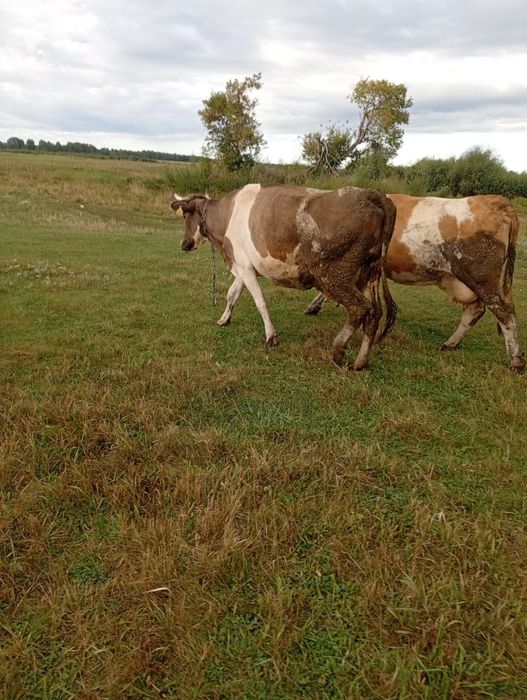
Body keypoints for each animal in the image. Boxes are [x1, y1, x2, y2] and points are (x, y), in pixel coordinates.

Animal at [171, 184, 397, 370]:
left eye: (184, 217)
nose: (183, 244)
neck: (227, 216)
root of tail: (372, 195)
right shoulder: (244, 266)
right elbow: (232, 294)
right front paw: (224, 319)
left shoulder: (244, 267)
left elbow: (260, 302)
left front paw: (271, 336)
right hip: (369, 273)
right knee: (375, 313)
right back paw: (360, 362)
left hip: (333, 274)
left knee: (359, 308)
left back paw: (338, 351)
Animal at [304, 194, 525, 372]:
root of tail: (495, 200)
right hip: (459, 279)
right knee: (476, 309)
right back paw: (450, 344)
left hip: (482, 278)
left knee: (504, 311)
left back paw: (515, 361)